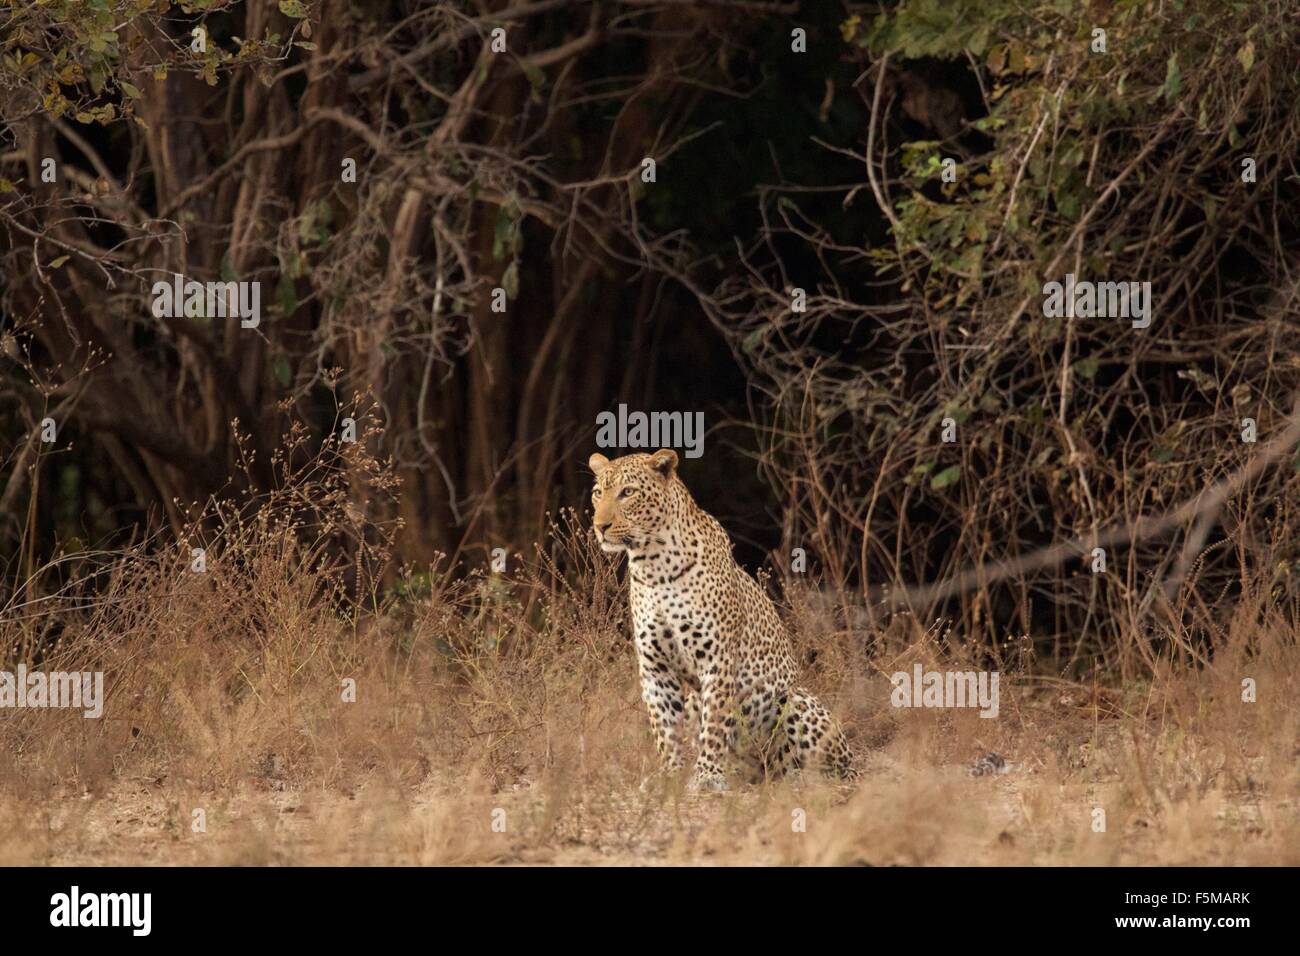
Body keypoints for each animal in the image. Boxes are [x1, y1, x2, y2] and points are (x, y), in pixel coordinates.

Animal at [587, 447, 852, 790]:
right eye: (597, 493)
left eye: (627, 492)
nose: (600, 526)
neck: (653, 565)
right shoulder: (655, 668)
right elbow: (665, 728)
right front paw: (670, 774)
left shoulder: (717, 660)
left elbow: (713, 723)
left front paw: (706, 776)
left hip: (794, 700)